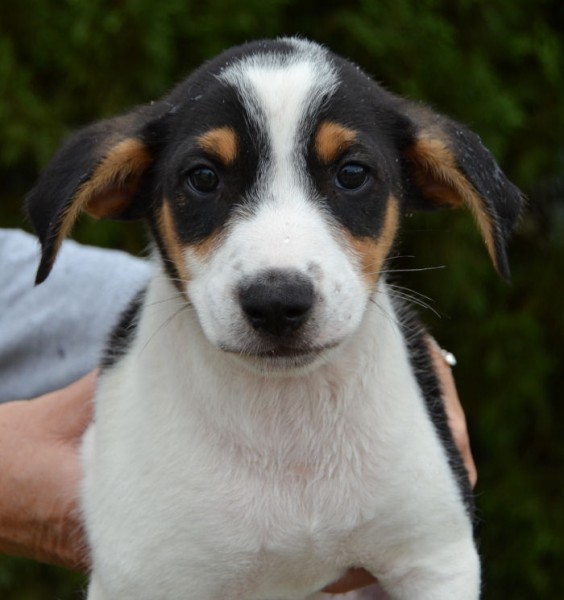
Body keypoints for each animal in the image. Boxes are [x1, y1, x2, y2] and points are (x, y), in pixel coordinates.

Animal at [26, 37, 520, 600]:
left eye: (352, 174)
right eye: (203, 177)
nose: (277, 302)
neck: (286, 426)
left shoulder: (434, 558)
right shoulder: (144, 580)